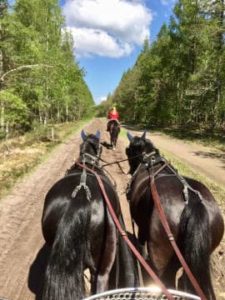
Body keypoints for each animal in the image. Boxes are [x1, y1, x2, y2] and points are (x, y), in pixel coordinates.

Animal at [125, 131, 224, 300]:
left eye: (128, 150)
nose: (131, 172)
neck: (150, 162)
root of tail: (193, 200)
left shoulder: (141, 226)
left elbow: (141, 244)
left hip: (161, 254)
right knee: (184, 279)